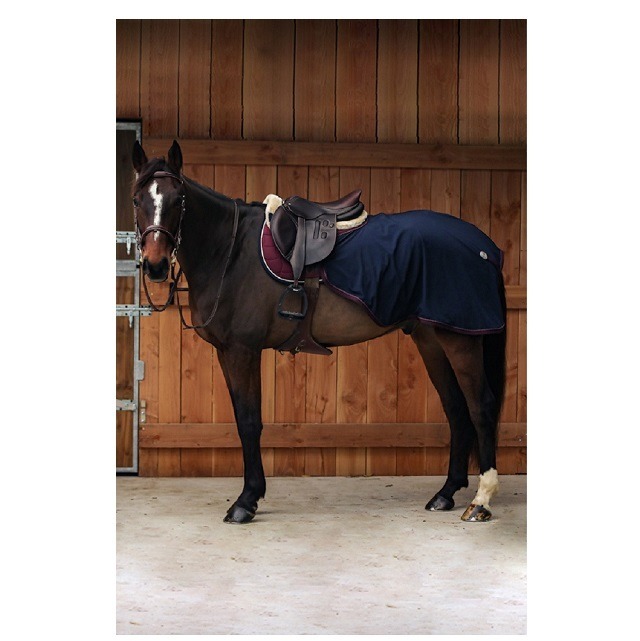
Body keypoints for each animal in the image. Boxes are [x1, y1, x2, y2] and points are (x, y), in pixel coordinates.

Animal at [131, 140, 507, 525]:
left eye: (178, 200)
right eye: (136, 199)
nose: (156, 265)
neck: (230, 251)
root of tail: (485, 248)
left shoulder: (242, 351)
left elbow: (249, 422)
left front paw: (246, 500)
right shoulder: (228, 353)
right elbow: (242, 419)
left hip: (460, 340)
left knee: (481, 406)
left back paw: (481, 501)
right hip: (431, 339)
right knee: (456, 408)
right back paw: (446, 493)